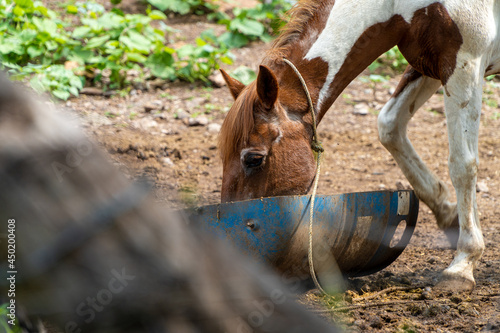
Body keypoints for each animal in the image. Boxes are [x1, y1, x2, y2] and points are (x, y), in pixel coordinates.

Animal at [220, 0, 500, 290]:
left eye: (254, 159)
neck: (404, 7)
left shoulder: (464, 65)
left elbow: (462, 164)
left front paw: (463, 263)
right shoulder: (430, 66)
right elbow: (389, 125)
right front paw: (449, 213)